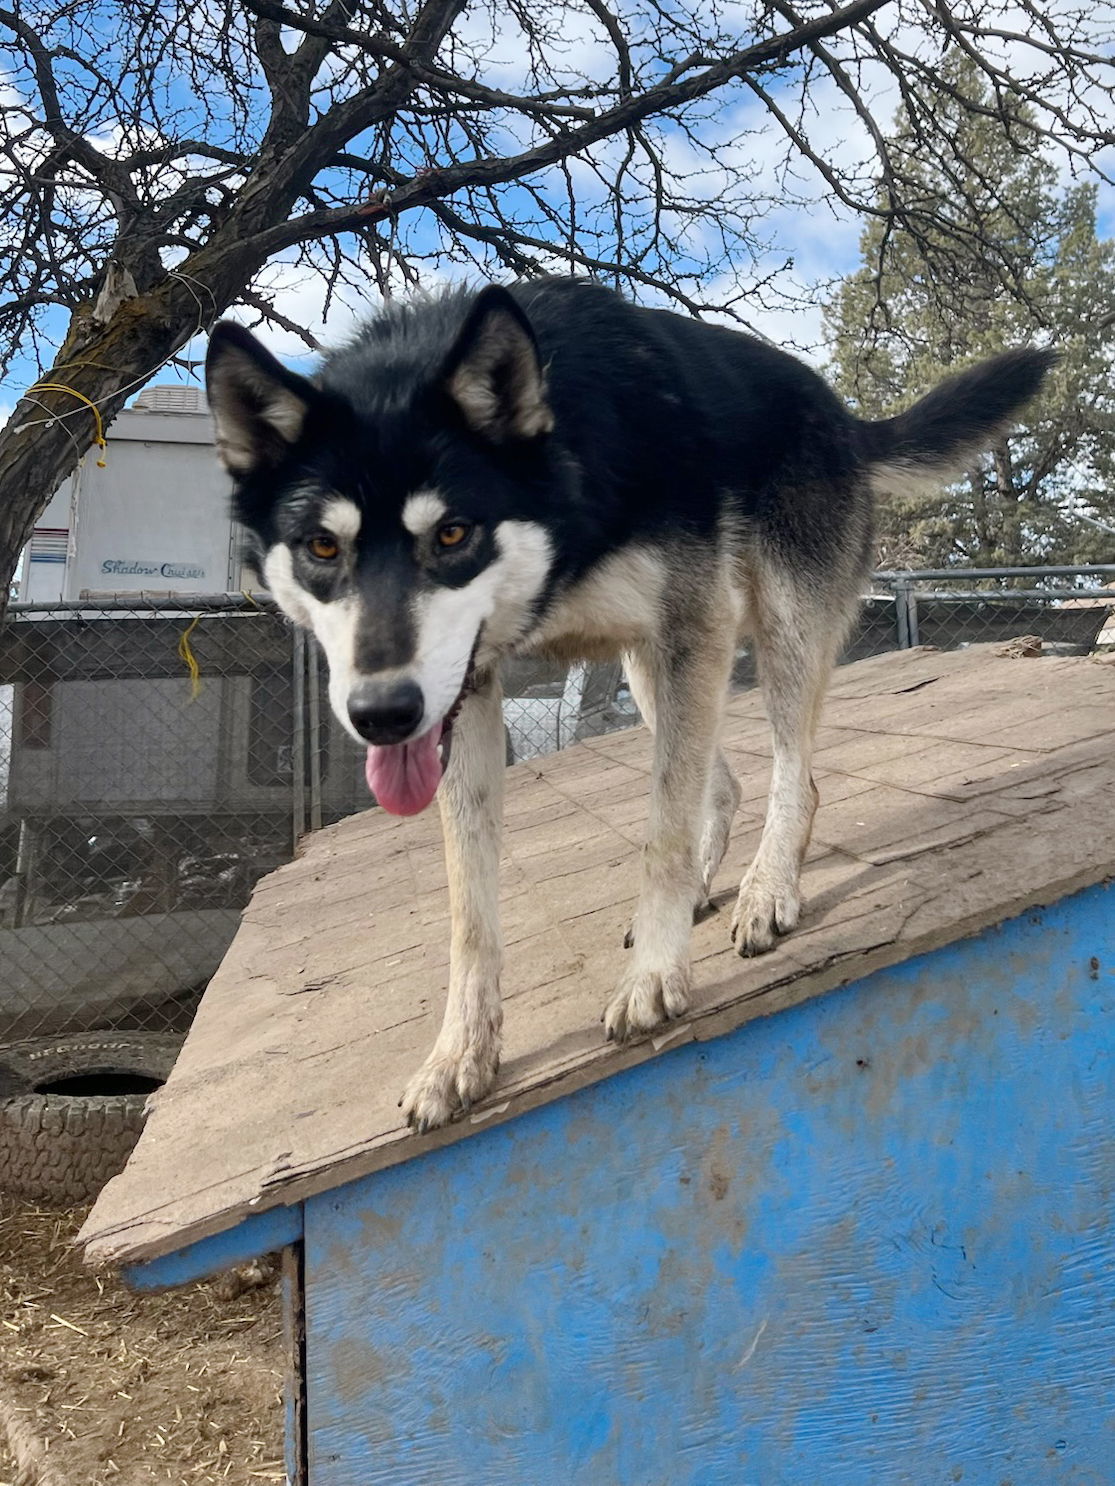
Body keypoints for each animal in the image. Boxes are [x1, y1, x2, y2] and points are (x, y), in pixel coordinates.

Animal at [209, 280, 1058, 1123]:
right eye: (323, 548)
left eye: (451, 534)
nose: (382, 715)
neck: (567, 480)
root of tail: (840, 410)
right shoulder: (476, 694)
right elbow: (469, 911)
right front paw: (459, 1055)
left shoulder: (689, 632)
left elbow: (661, 840)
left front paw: (655, 977)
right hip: (652, 673)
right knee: (726, 785)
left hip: (772, 633)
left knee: (795, 777)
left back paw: (767, 890)